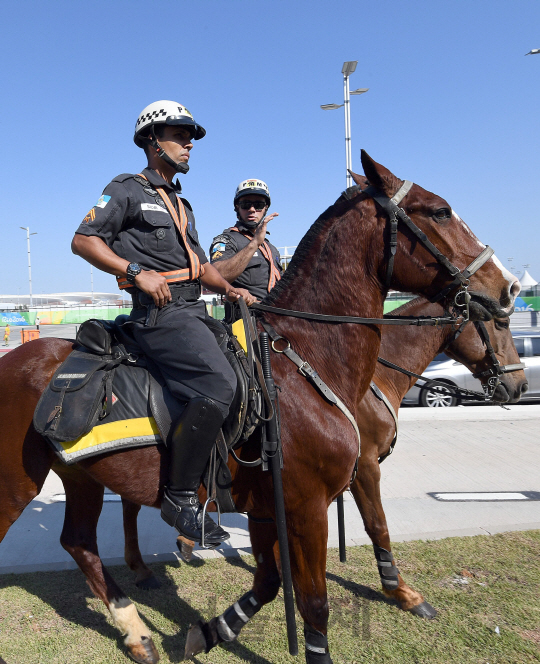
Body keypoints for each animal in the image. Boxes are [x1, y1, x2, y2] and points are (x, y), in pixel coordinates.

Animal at [0, 153, 520, 660]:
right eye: (440, 211)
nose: (510, 288)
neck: (306, 360)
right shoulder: (312, 505)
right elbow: (319, 595)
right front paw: (388, 601)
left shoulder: (270, 508)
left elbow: (270, 582)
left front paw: (213, 629)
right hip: (18, 481)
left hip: (81, 476)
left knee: (79, 542)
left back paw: (138, 633)